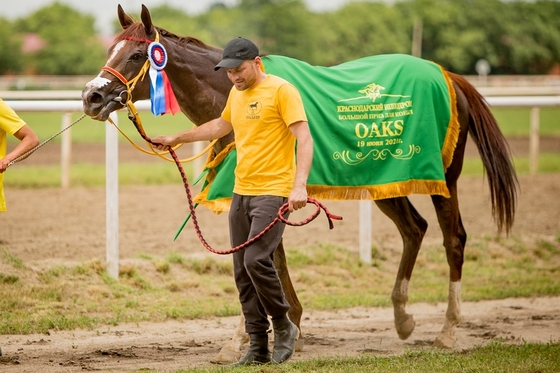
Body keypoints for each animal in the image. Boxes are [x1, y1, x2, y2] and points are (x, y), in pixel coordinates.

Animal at [82, 4, 516, 362]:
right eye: (110, 52)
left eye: (136, 55)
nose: (91, 96)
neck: (237, 93)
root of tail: (449, 76)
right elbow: (267, 256)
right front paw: (290, 327)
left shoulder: (272, 191)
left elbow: (264, 255)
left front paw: (250, 338)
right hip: (385, 180)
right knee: (415, 229)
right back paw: (402, 317)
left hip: (444, 179)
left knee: (453, 238)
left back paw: (447, 330)